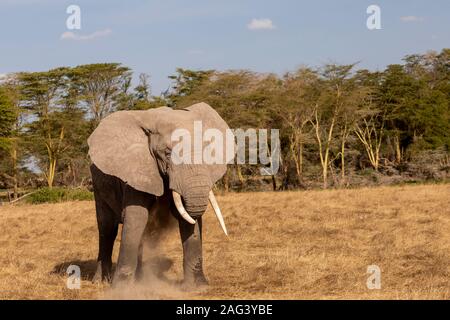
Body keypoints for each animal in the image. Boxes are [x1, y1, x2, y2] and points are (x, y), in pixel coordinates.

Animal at [88, 102, 232, 288]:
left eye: (207, 150)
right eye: (167, 153)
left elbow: (184, 218)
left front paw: (198, 288)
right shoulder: (137, 171)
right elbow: (136, 217)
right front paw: (121, 289)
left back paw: (140, 280)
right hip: (98, 185)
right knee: (107, 229)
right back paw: (100, 282)